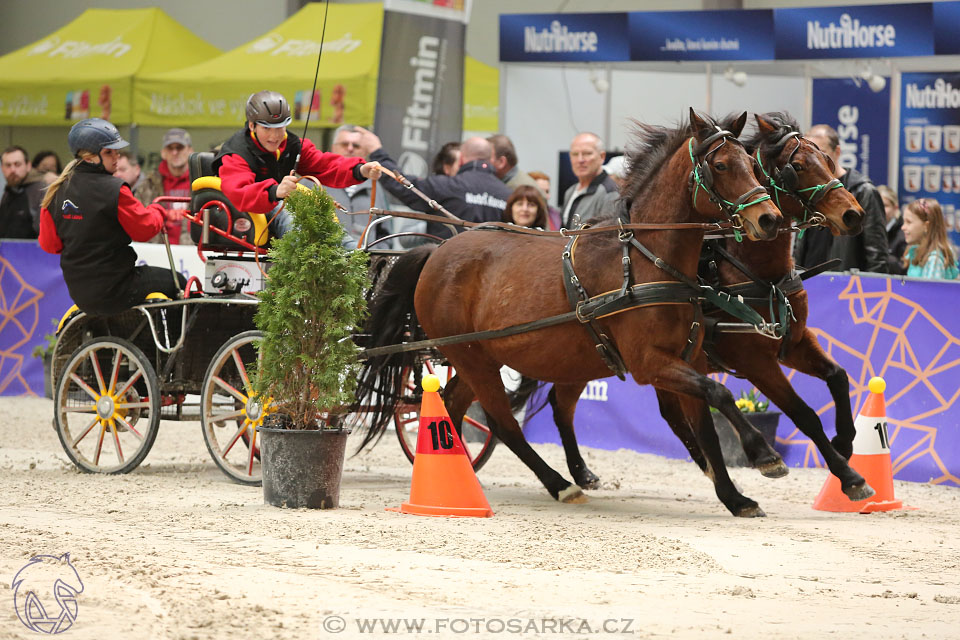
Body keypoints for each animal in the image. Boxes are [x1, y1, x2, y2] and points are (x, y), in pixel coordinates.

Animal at [356, 110, 784, 516]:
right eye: (722, 165)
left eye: (752, 162)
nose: (770, 218)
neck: (645, 262)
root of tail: (437, 251)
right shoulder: (649, 363)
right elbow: (720, 393)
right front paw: (763, 453)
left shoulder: (686, 359)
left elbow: (708, 426)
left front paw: (735, 497)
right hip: (471, 356)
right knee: (502, 422)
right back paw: (560, 484)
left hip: (479, 355)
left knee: (458, 406)